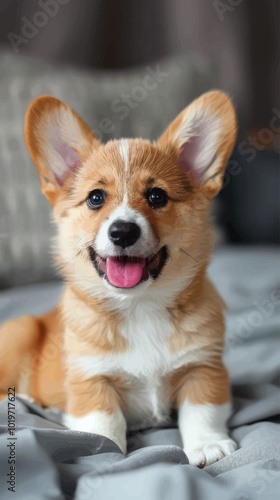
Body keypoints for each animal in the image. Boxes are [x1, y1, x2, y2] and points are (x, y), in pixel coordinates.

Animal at [0, 91, 238, 468]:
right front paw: (105, 452)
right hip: (19, 330)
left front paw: (207, 445)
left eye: (157, 196)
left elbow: (202, 410)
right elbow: (104, 422)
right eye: (96, 197)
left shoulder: (204, 365)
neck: (139, 307)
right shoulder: (90, 378)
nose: (123, 231)